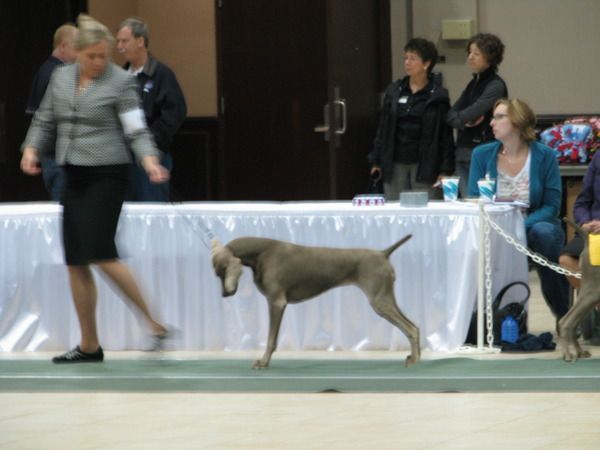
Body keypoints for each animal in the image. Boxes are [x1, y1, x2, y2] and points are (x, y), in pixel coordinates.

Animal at [211, 235, 419, 369]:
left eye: (222, 271)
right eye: (218, 274)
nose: (224, 294)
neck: (262, 252)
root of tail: (383, 253)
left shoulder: (276, 302)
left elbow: (271, 340)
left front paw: (263, 362)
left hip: (379, 301)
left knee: (410, 328)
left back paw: (414, 360)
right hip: (386, 297)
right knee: (414, 326)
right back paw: (414, 357)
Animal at [558, 218, 598, 362]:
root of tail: (588, 238)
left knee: (573, 322)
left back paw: (579, 351)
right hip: (593, 290)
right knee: (566, 320)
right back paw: (568, 354)